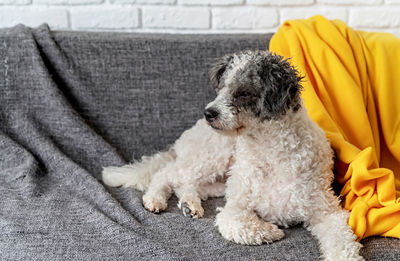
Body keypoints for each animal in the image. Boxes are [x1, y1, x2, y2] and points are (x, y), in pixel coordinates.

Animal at [101, 49, 364, 258]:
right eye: (220, 89)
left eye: (244, 92)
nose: (209, 113)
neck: (270, 151)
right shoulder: (236, 206)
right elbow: (233, 223)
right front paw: (270, 231)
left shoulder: (326, 211)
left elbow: (343, 242)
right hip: (213, 155)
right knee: (168, 173)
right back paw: (155, 199)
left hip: (221, 177)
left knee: (187, 183)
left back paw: (189, 204)